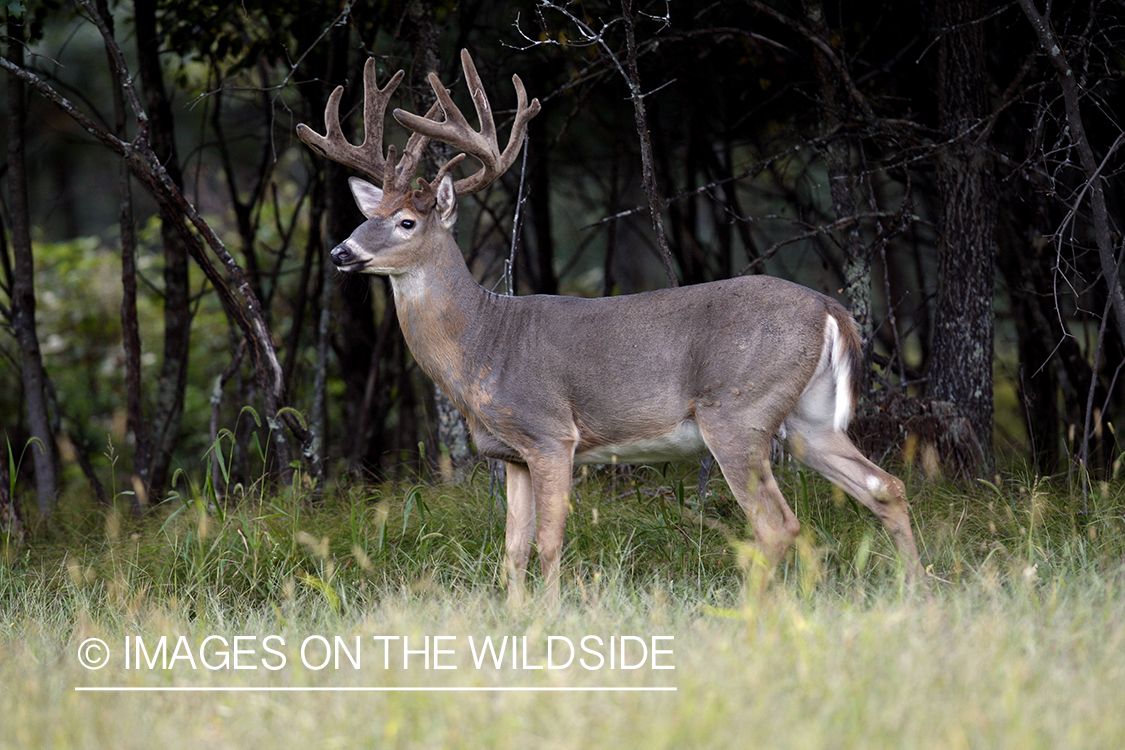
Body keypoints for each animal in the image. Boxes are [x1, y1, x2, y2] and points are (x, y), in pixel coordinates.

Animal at [299, 51, 922, 602]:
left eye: (406, 222)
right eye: (367, 215)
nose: (340, 252)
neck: (482, 344)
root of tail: (832, 311)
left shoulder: (551, 432)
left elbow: (549, 542)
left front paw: (548, 621)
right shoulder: (511, 454)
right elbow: (513, 549)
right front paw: (516, 618)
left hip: (737, 410)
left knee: (778, 524)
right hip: (808, 418)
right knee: (885, 486)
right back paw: (918, 592)